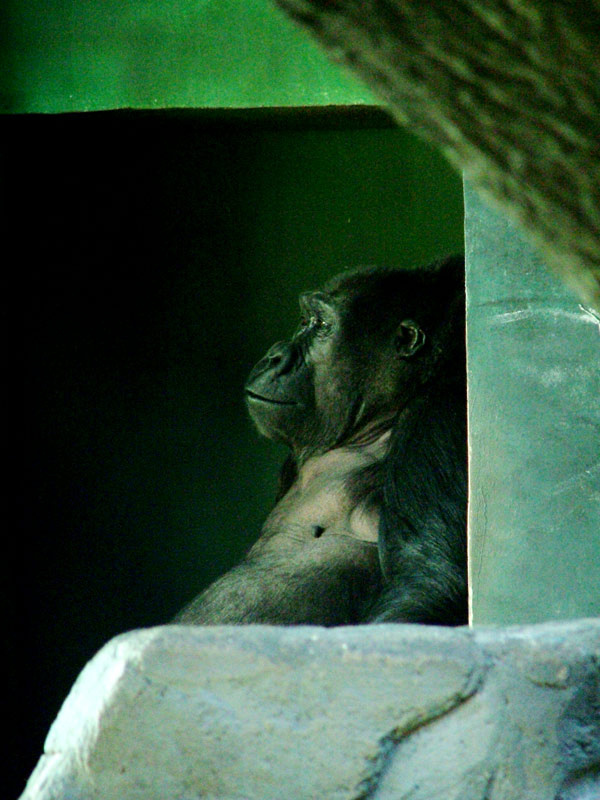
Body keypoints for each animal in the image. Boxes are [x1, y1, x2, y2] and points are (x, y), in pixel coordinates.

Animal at [176, 256, 467, 626]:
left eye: (322, 325)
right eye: (305, 321)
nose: (274, 356)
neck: (376, 425)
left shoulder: (436, 418)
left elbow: (429, 582)